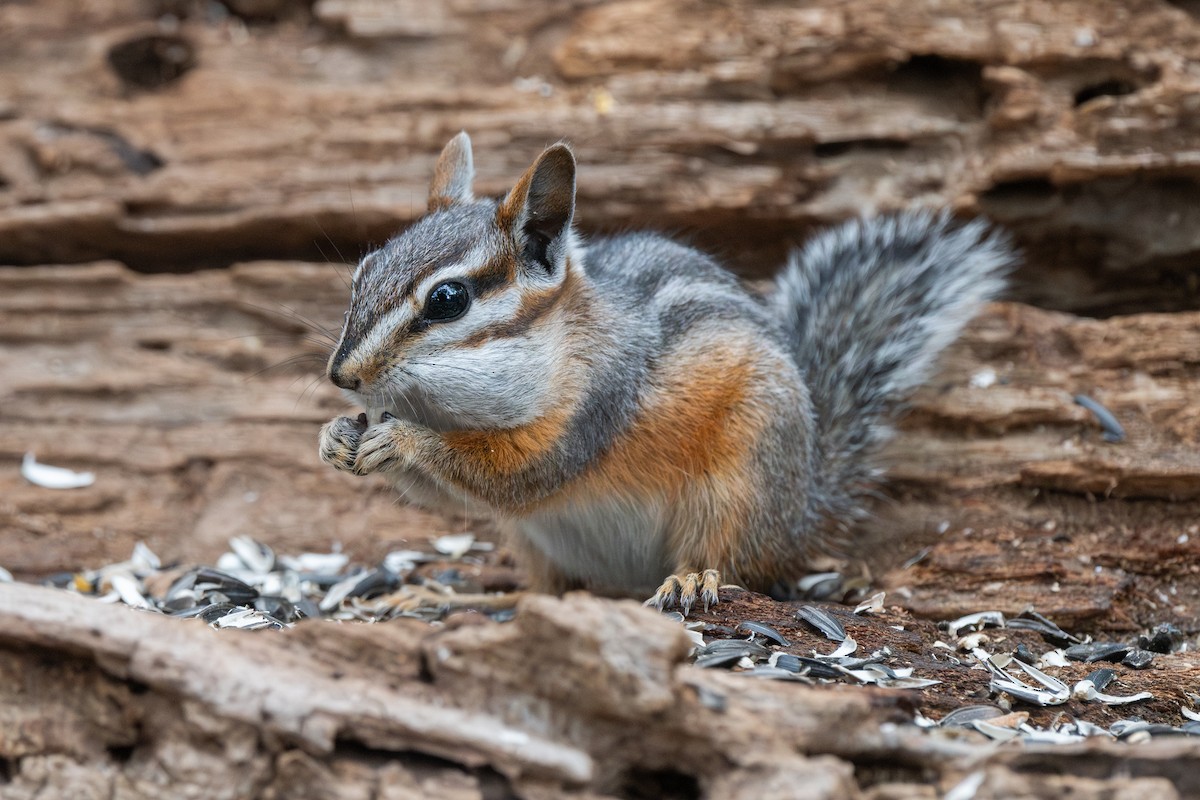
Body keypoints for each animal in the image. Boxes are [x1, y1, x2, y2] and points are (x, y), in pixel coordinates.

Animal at [318, 132, 1015, 613]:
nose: (342, 377)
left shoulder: (594, 407)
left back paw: (691, 579)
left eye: (448, 299)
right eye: (363, 270)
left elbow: (514, 473)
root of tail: (808, 502)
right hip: (535, 542)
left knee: (732, 561)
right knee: (546, 593)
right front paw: (335, 437)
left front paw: (402, 440)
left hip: (740, 481)